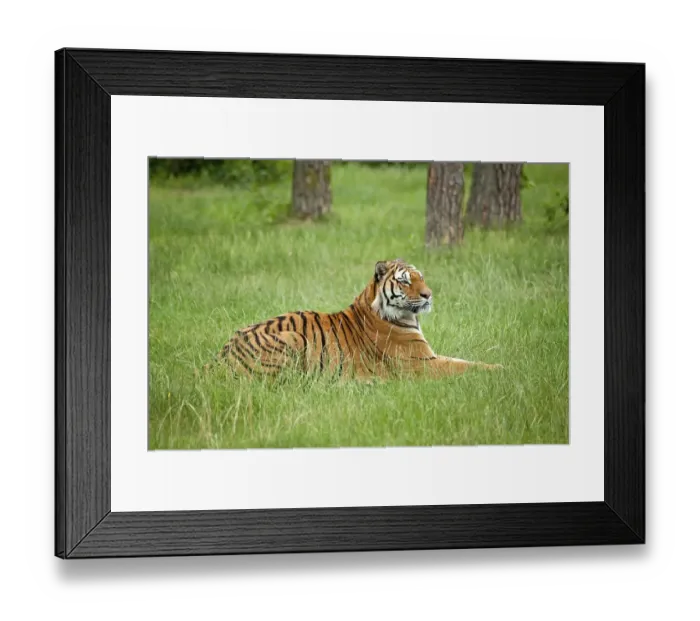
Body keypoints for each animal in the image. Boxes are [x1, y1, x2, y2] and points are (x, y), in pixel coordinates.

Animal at [213, 258, 503, 381]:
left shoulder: (429, 357)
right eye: (405, 281)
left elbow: (466, 360)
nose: (428, 295)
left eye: (421, 277)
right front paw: (505, 370)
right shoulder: (422, 365)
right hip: (292, 338)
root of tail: (217, 360)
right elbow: (465, 367)